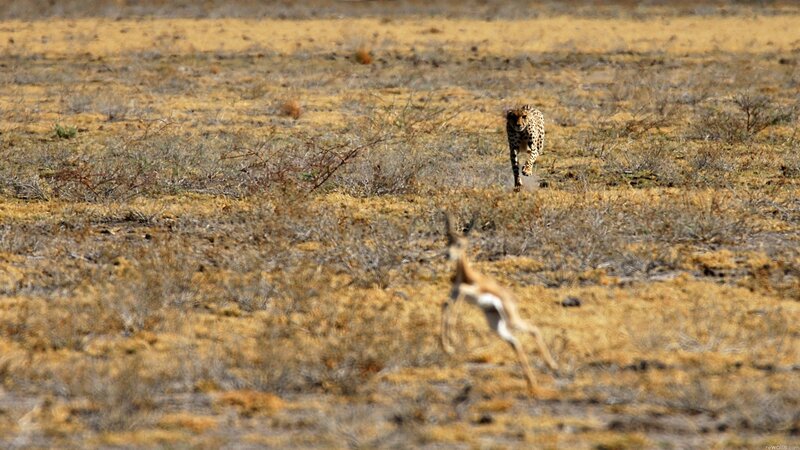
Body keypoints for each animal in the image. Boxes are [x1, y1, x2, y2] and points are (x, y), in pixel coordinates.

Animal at [441, 214, 559, 394]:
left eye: (460, 244)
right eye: (449, 241)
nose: (448, 255)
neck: (466, 275)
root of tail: (511, 298)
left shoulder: (467, 291)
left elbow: (455, 303)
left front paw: (452, 341)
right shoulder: (454, 294)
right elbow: (445, 305)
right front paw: (447, 347)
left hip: (511, 320)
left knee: (533, 329)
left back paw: (551, 366)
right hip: (496, 324)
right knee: (515, 342)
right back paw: (531, 383)